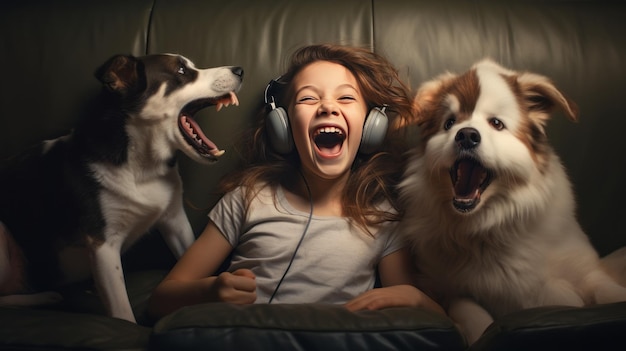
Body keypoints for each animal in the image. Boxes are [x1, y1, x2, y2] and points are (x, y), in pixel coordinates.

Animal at [0, 53, 243, 324]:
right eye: (181, 70)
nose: (240, 70)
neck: (142, 166)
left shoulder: (174, 219)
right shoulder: (103, 244)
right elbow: (122, 312)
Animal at [398, 59, 624, 344]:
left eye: (496, 123)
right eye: (449, 123)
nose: (466, 135)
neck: (489, 227)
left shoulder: (586, 269)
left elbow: (607, 291)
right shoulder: (442, 287)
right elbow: (473, 313)